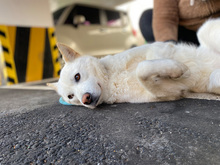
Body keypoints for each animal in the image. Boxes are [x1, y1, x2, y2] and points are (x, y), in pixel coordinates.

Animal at [49, 18, 220, 109]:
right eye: (71, 96)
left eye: (77, 77)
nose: (85, 99)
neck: (111, 81)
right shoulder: (168, 92)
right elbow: (142, 72)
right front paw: (176, 69)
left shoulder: (159, 47)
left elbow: (145, 63)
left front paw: (176, 68)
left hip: (205, 29)